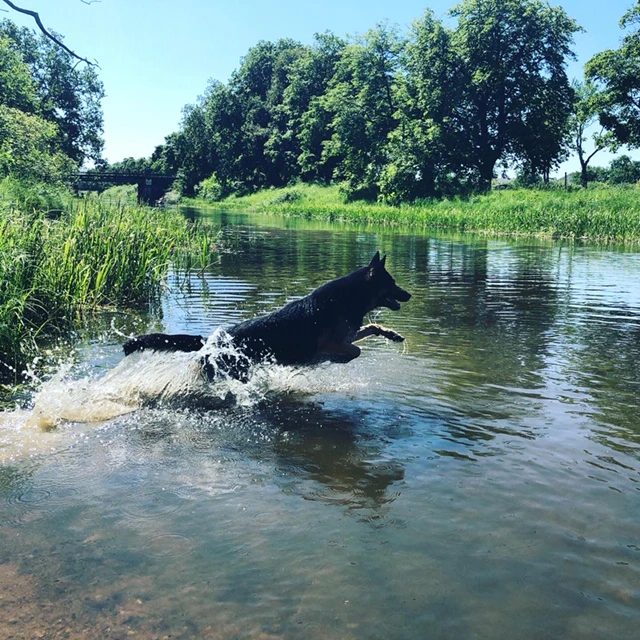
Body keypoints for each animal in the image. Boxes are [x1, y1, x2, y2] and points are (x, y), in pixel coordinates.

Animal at [123, 252, 411, 380]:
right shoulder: (332, 342)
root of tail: (209, 342)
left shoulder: (348, 334)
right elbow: (355, 351)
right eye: (392, 282)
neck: (350, 297)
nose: (408, 295)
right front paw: (336, 360)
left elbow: (372, 327)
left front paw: (393, 334)